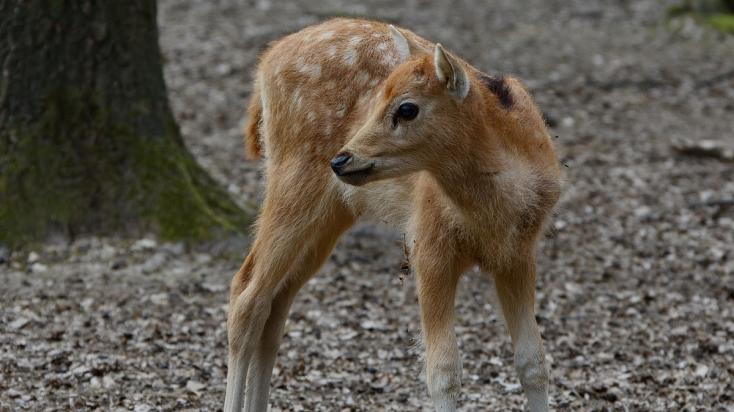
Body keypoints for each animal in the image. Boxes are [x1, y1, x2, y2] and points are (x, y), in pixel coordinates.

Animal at [224, 17, 561, 412]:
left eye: (407, 108)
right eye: (380, 98)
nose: (341, 159)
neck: (494, 210)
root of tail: (265, 62)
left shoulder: (519, 253)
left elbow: (533, 362)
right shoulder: (427, 243)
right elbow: (443, 372)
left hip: (331, 214)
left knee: (274, 302)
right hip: (291, 182)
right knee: (246, 295)